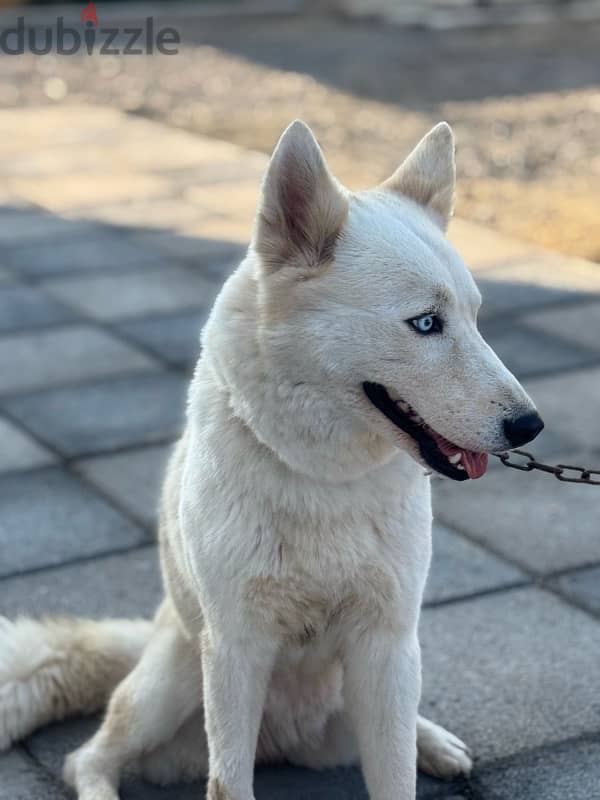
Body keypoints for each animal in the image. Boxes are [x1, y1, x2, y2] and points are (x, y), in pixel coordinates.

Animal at [0, 120, 544, 800]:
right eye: (425, 323)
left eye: (475, 318)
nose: (530, 426)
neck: (323, 479)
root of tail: (286, 740)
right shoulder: (236, 648)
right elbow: (228, 783)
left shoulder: (387, 642)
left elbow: (394, 777)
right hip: (174, 682)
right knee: (87, 760)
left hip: (372, 687)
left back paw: (434, 743)